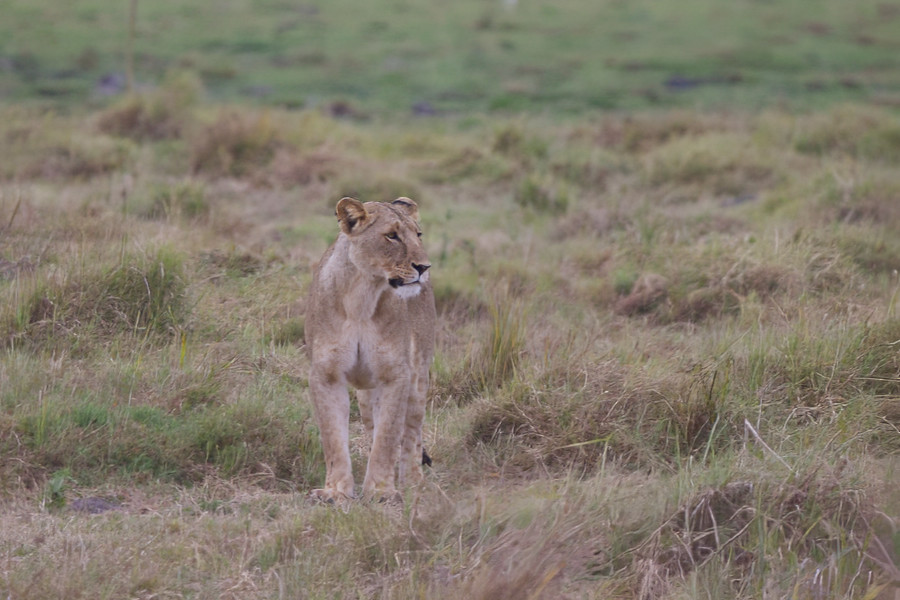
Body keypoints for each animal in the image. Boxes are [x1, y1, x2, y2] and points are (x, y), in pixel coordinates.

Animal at [305, 196, 436, 503]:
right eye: (392, 235)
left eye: (418, 234)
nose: (424, 267)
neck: (361, 298)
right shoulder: (326, 375)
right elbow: (333, 437)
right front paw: (336, 491)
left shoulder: (396, 375)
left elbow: (388, 438)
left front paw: (380, 491)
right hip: (366, 395)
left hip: (418, 380)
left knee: (411, 434)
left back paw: (414, 484)